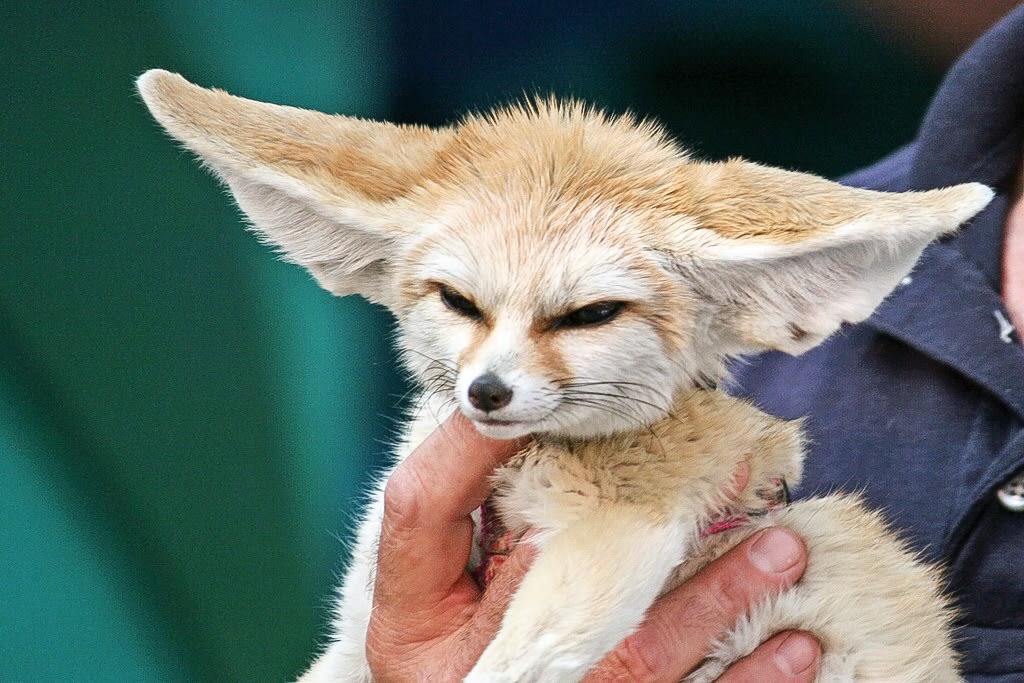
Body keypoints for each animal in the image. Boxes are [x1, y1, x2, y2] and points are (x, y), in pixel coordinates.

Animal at [138, 69, 993, 682]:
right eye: (460, 301)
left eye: (590, 315)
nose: (487, 391)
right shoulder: (363, 616)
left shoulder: (623, 535)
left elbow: (504, 669)